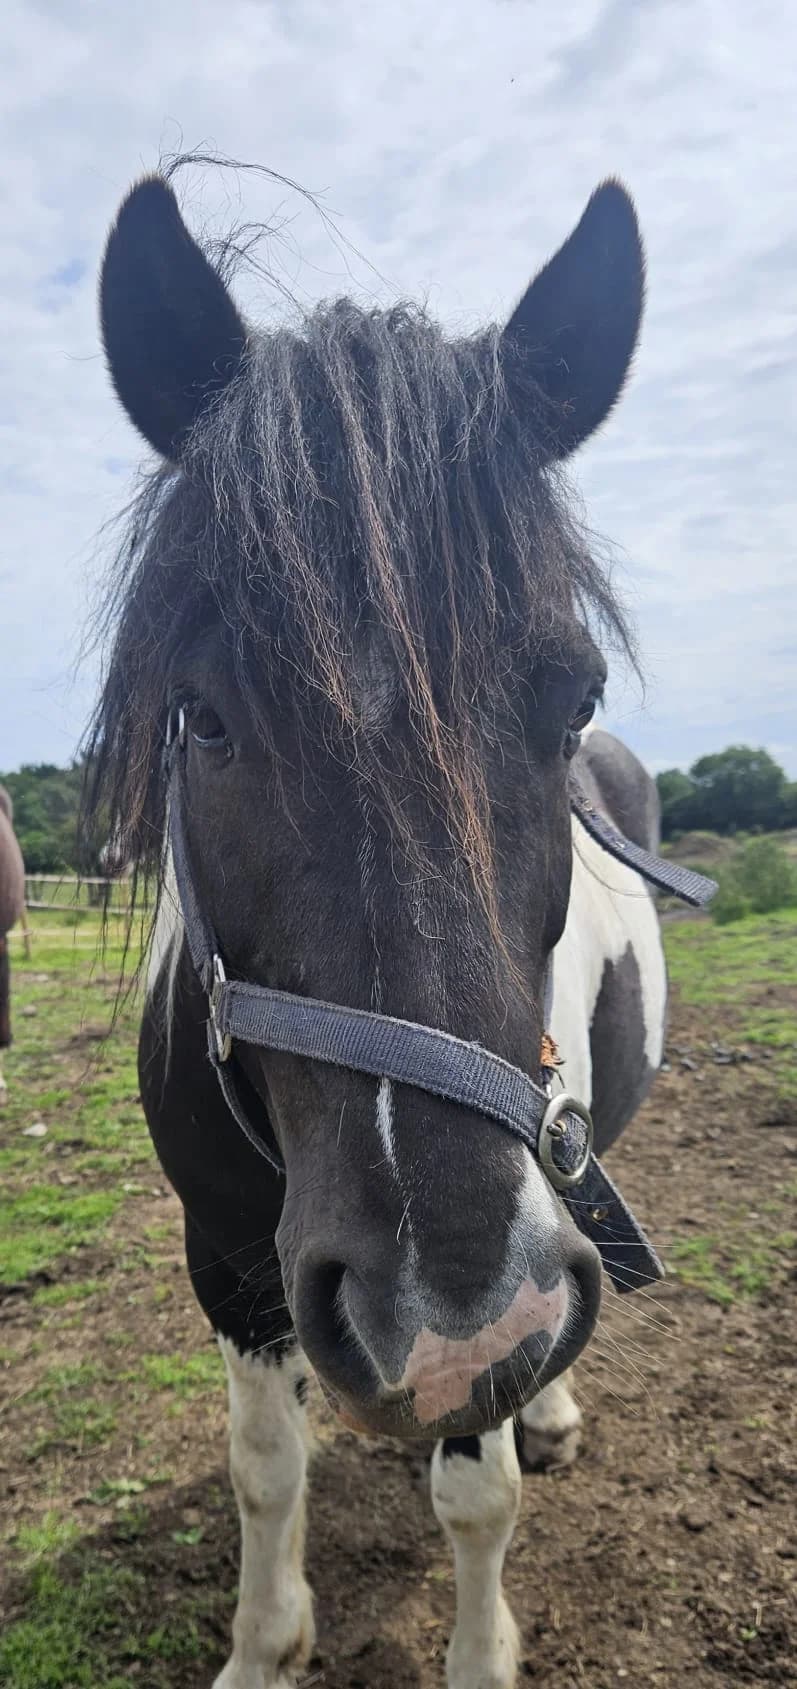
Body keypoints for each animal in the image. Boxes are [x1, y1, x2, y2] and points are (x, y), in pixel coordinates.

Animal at [86, 167, 679, 1689]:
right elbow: (262, 1469)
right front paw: (262, 1646)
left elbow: (475, 1489)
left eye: (573, 698)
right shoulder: (226, 1262)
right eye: (203, 713)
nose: (444, 1305)